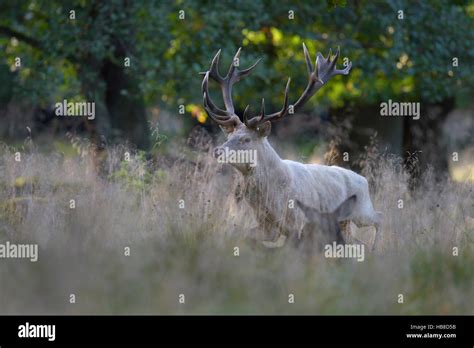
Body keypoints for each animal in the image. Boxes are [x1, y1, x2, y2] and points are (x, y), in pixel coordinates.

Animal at [202, 42, 384, 250]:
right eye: (229, 135)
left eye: (246, 139)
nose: (218, 151)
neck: (273, 198)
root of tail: (364, 180)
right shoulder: (267, 226)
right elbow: (237, 233)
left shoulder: (298, 223)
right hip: (344, 225)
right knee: (357, 240)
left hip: (361, 210)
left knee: (379, 217)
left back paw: (376, 248)